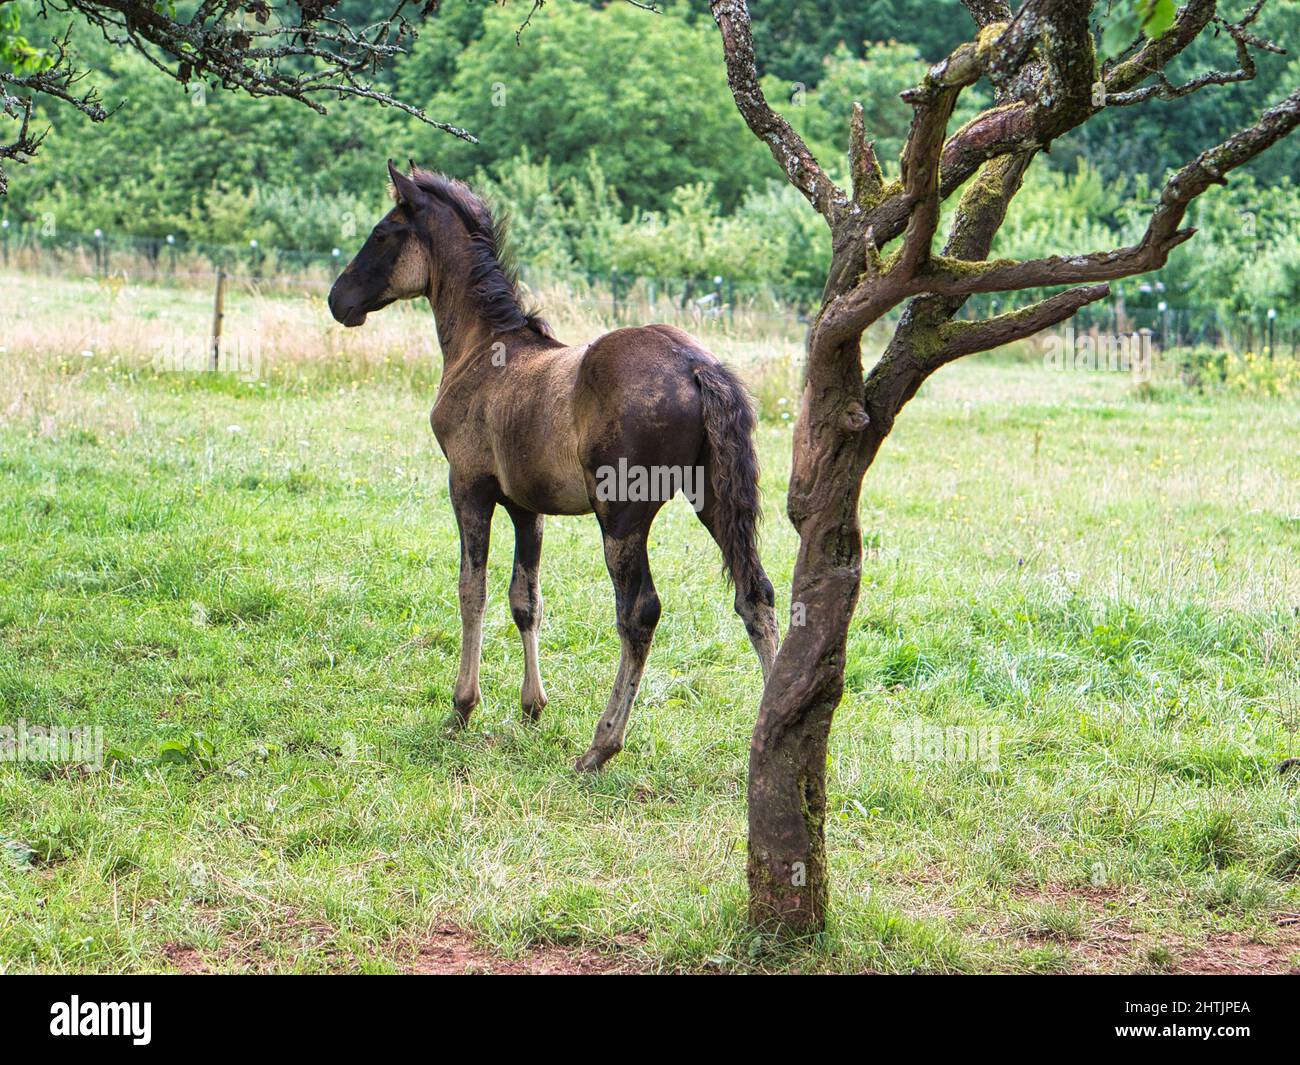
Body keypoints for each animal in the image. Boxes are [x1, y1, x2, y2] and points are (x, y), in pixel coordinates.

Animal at [330, 160, 774, 775]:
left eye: (380, 233)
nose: (337, 299)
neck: (483, 349)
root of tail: (696, 364)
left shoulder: (467, 487)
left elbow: (472, 589)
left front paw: (462, 707)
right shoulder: (525, 506)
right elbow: (526, 600)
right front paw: (531, 707)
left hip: (622, 517)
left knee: (639, 613)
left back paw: (601, 746)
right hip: (715, 500)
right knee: (756, 593)